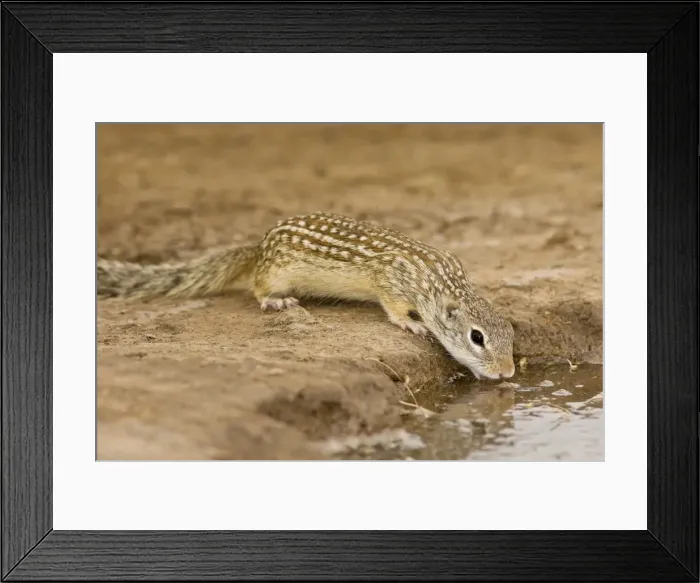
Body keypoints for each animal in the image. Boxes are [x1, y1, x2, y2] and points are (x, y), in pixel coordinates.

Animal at [98, 212, 516, 380]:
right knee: (256, 287)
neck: (439, 281)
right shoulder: (389, 281)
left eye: (511, 335)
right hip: (276, 272)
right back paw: (274, 300)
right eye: (476, 337)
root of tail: (257, 249)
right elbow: (394, 306)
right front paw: (410, 324)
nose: (508, 372)